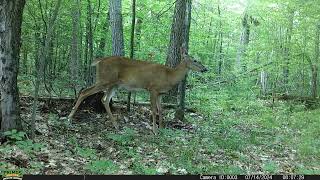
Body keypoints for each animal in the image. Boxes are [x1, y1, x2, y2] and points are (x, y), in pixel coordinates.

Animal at [67, 47, 208, 134]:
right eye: (195, 60)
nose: (205, 69)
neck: (170, 75)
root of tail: (99, 61)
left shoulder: (160, 93)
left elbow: (161, 110)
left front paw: (162, 128)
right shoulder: (152, 89)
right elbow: (154, 110)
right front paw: (155, 130)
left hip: (114, 85)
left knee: (104, 99)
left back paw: (116, 125)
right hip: (104, 80)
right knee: (84, 92)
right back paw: (69, 118)